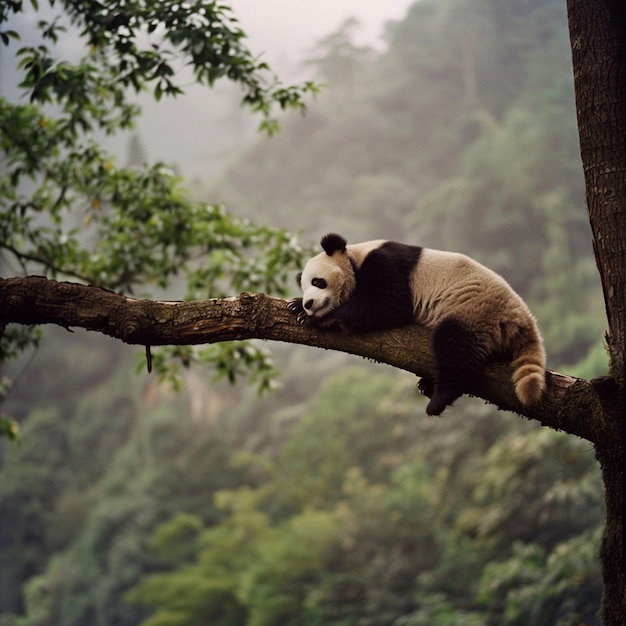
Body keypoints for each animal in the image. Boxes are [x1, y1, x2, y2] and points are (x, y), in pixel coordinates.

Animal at [286, 230, 540, 414]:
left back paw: (439, 398)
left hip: (477, 310)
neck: (355, 258)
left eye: (318, 282)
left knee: (455, 344)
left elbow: (391, 303)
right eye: (305, 287)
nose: (309, 303)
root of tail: (524, 320)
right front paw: (295, 305)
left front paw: (317, 319)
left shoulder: (384, 263)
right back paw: (428, 385)